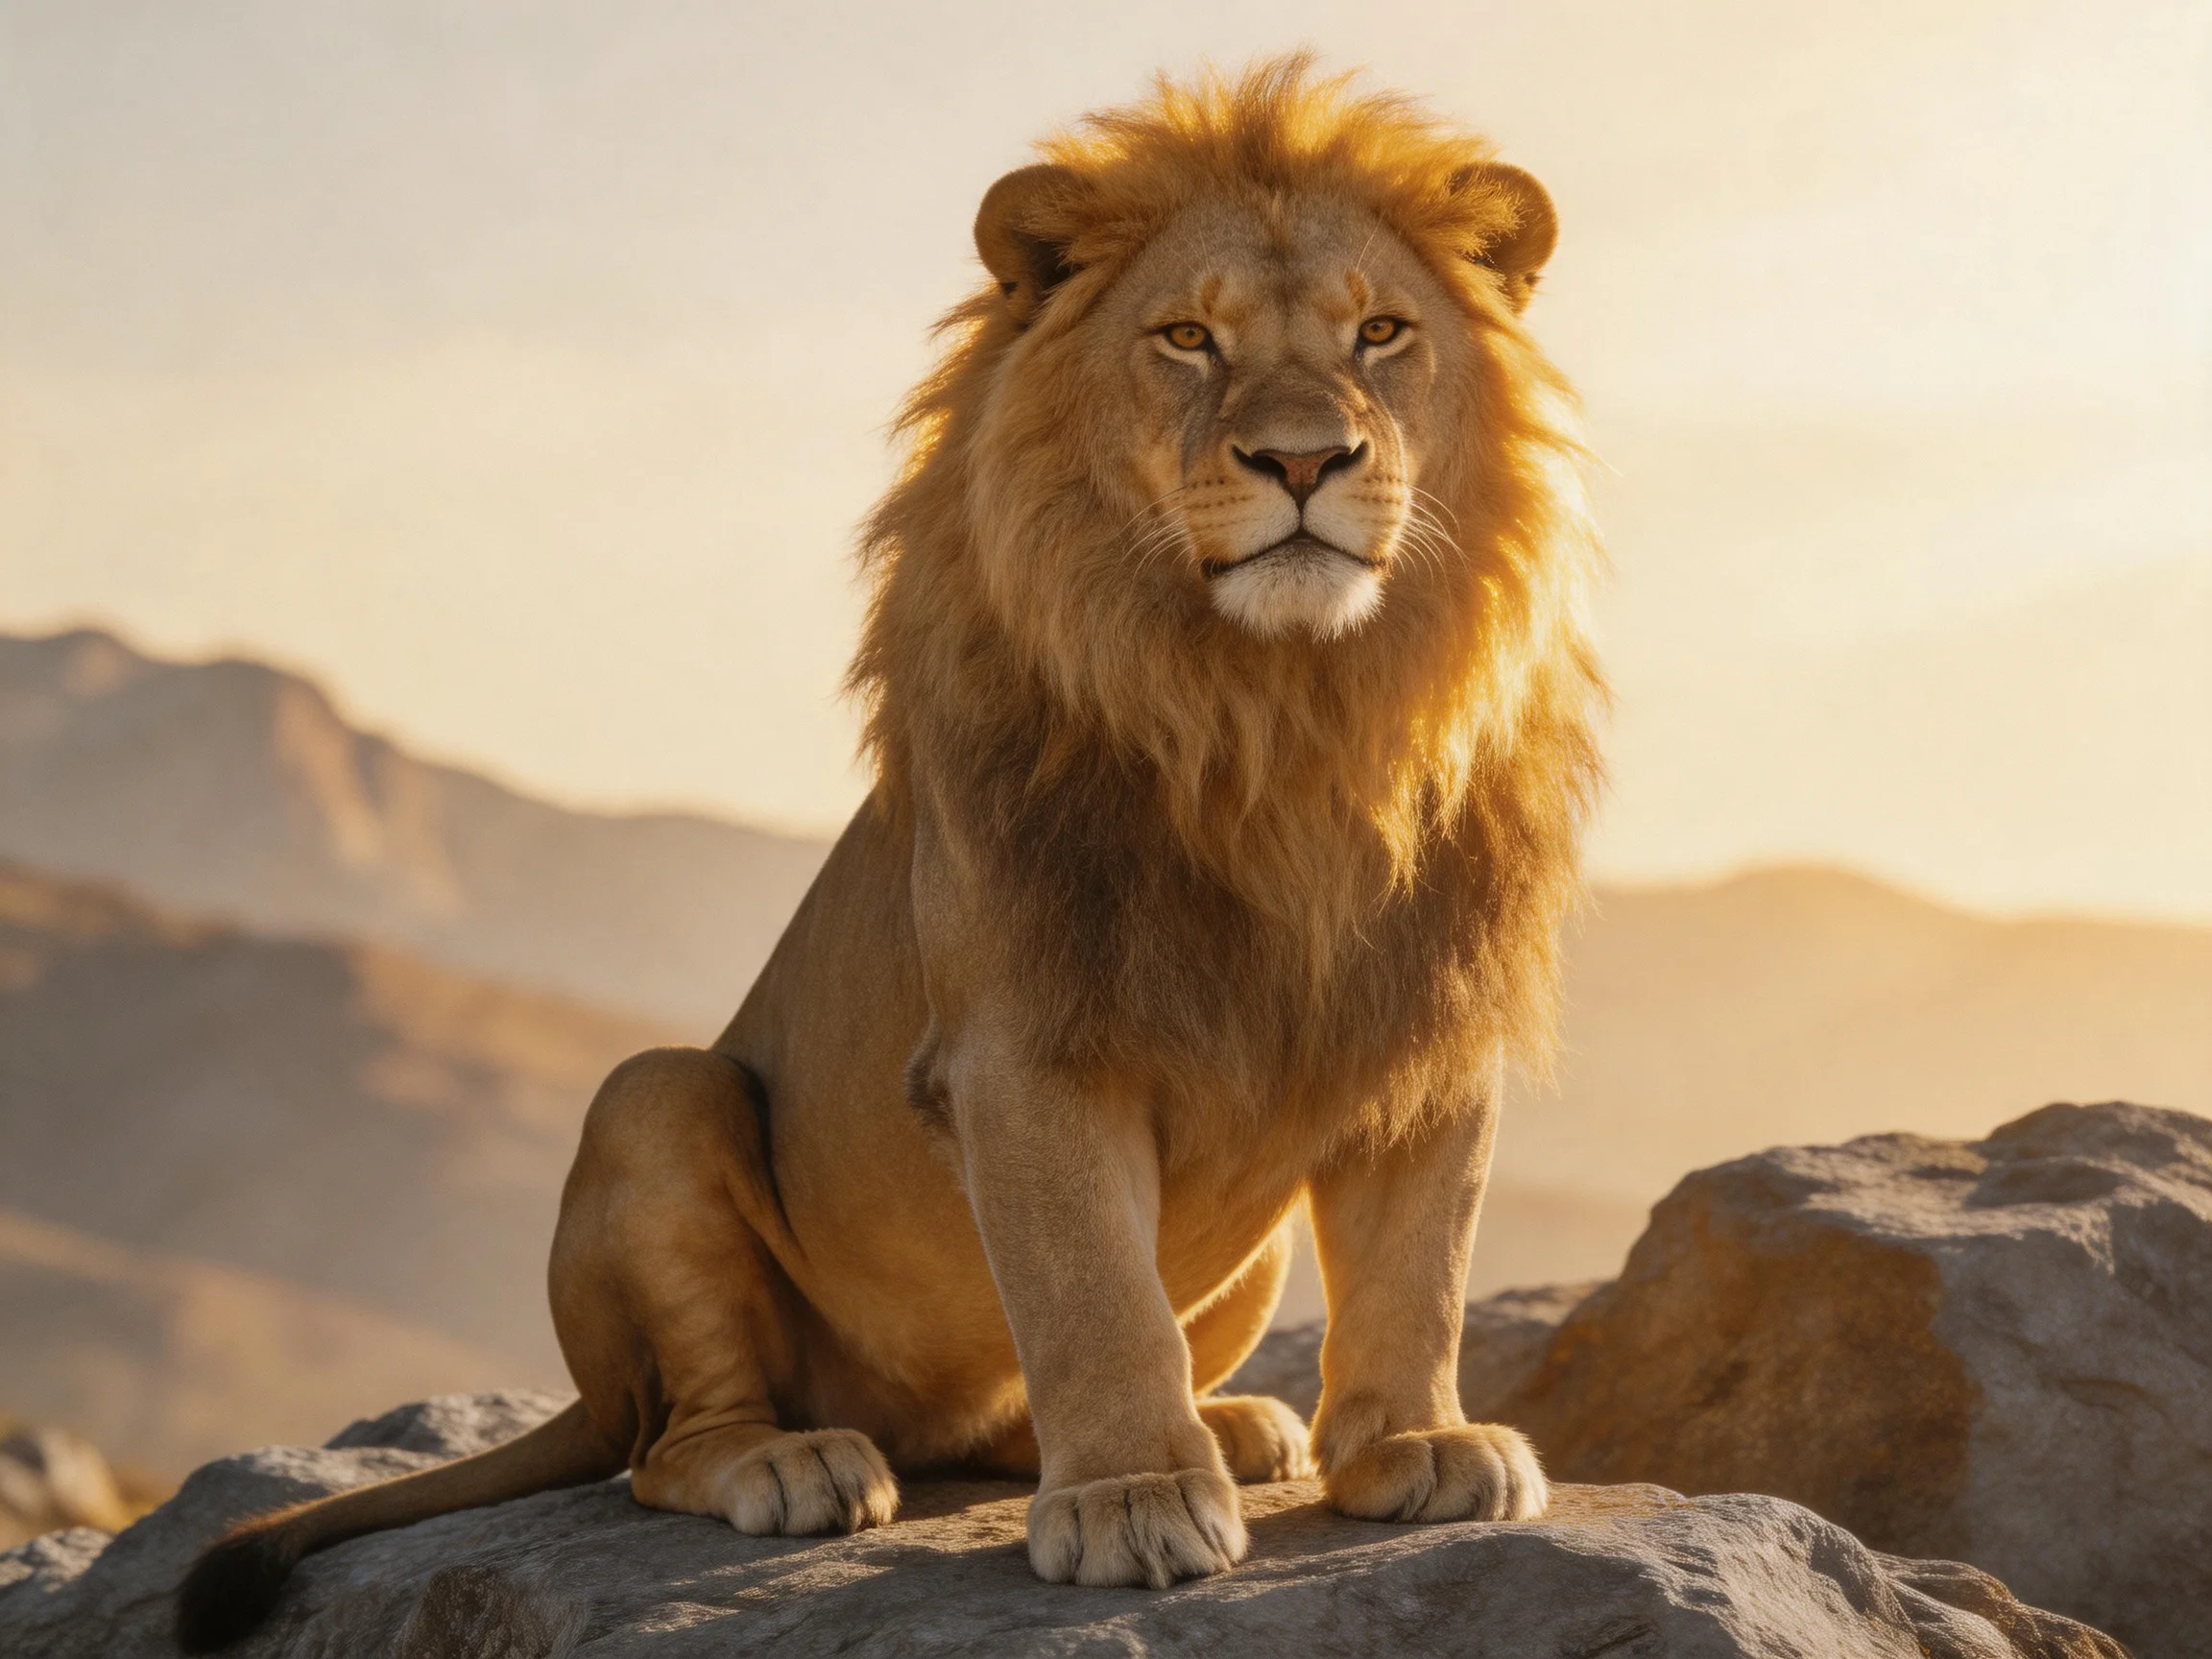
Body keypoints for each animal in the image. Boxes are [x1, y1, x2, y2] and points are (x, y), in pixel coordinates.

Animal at [177, 58, 1603, 1647]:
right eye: (1187, 338)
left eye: (1381, 334)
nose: (1303, 457)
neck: (1285, 714)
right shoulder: (1023, 1046)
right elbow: (1091, 1291)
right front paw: (1130, 1496)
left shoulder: (1428, 1023)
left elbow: (1421, 1262)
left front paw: (1413, 1442)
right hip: (655, 1100)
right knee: (664, 1444)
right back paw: (801, 1463)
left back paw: (1232, 1426)